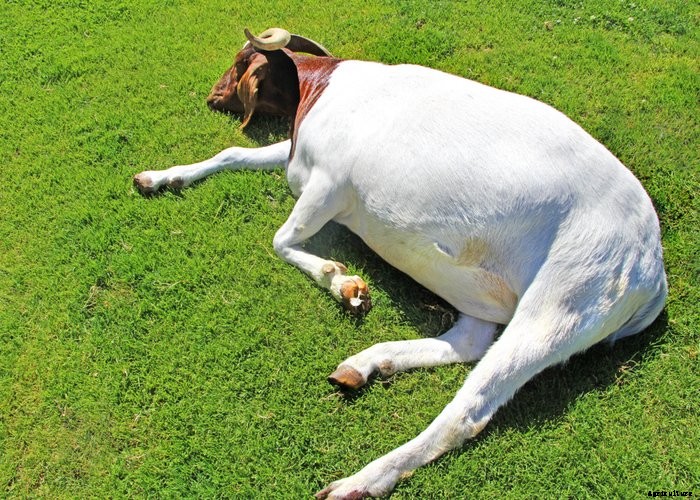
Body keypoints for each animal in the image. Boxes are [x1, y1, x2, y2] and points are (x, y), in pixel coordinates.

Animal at [133, 28, 667, 499]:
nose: (211, 96)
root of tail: (652, 271)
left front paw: (343, 283)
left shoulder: (327, 186)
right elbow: (234, 152)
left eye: (238, 60)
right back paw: (367, 364)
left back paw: (359, 481)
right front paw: (160, 177)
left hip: (567, 295)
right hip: (490, 295)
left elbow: (281, 239)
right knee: (471, 342)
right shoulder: (298, 158)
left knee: (468, 410)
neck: (321, 88)